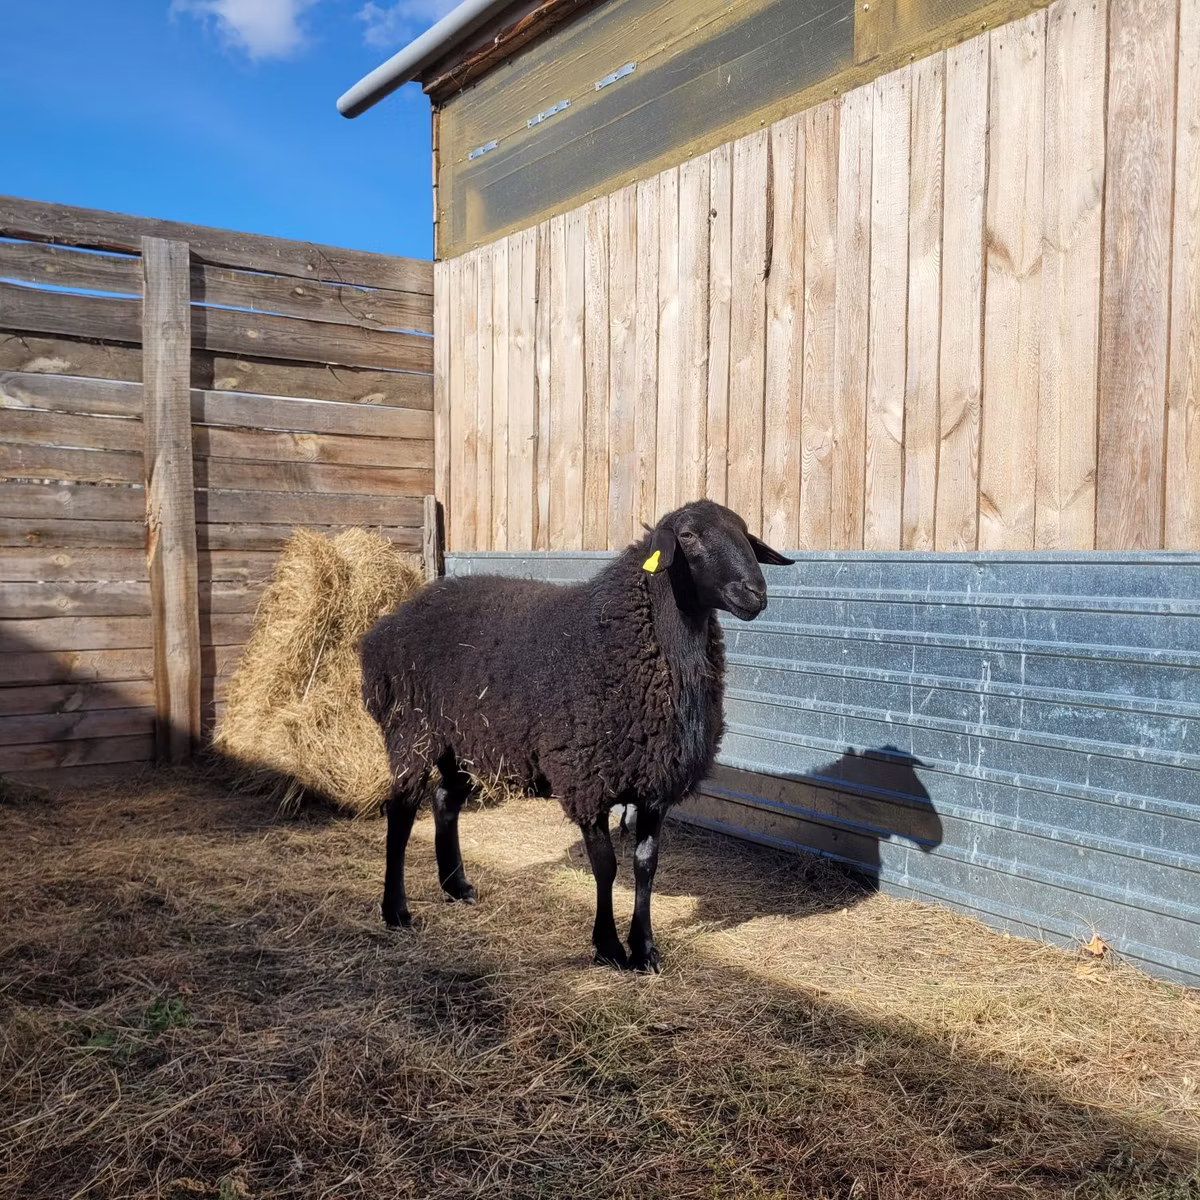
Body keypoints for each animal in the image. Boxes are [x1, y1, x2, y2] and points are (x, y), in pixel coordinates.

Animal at [359, 499, 793, 972]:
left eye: (746, 534)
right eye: (689, 536)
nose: (755, 593)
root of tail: (386, 625)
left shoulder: (655, 784)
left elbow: (646, 865)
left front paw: (645, 949)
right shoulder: (585, 778)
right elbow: (605, 867)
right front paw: (608, 946)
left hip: (466, 742)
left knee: (444, 801)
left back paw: (456, 887)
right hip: (412, 732)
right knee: (401, 811)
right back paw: (396, 910)